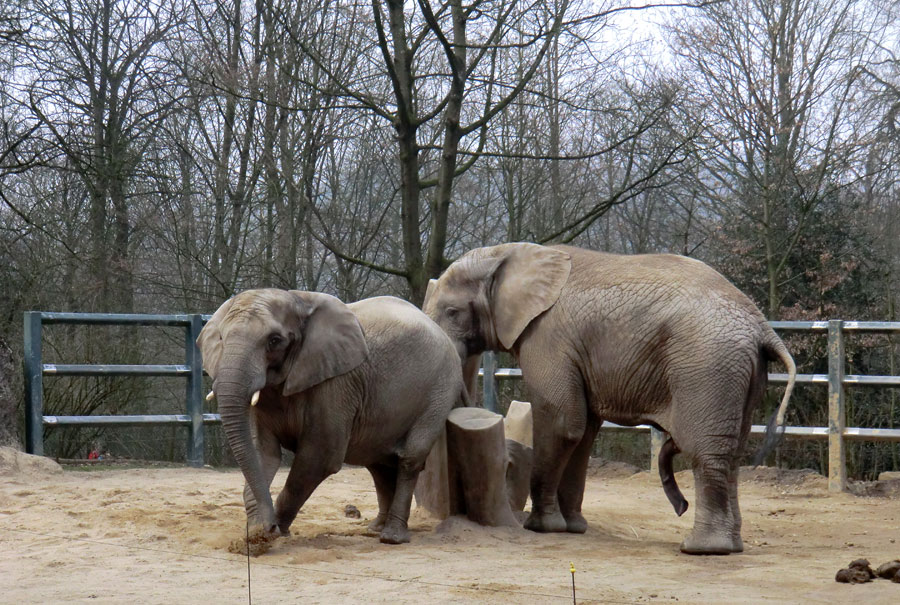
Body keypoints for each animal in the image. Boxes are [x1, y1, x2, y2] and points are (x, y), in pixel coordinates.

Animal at [198, 288, 464, 544]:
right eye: (221, 338)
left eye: (274, 340)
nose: (268, 527)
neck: (298, 300)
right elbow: (263, 451)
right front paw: (257, 533)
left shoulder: (336, 384)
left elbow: (319, 456)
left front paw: (274, 533)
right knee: (378, 462)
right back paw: (375, 529)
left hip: (440, 389)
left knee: (409, 458)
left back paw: (392, 537)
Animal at [422, 243, 796, 556]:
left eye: (452, 312)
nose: (681, 506)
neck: (508, 253)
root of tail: (763, 327)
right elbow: (583, 431)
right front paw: (573, 528)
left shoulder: (548, 337)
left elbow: (561, 422)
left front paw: (541, 527)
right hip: (740, 371)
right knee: (732, 452)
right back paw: (731, 545)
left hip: (707, 367)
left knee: (705, 451)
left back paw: (703, 549)